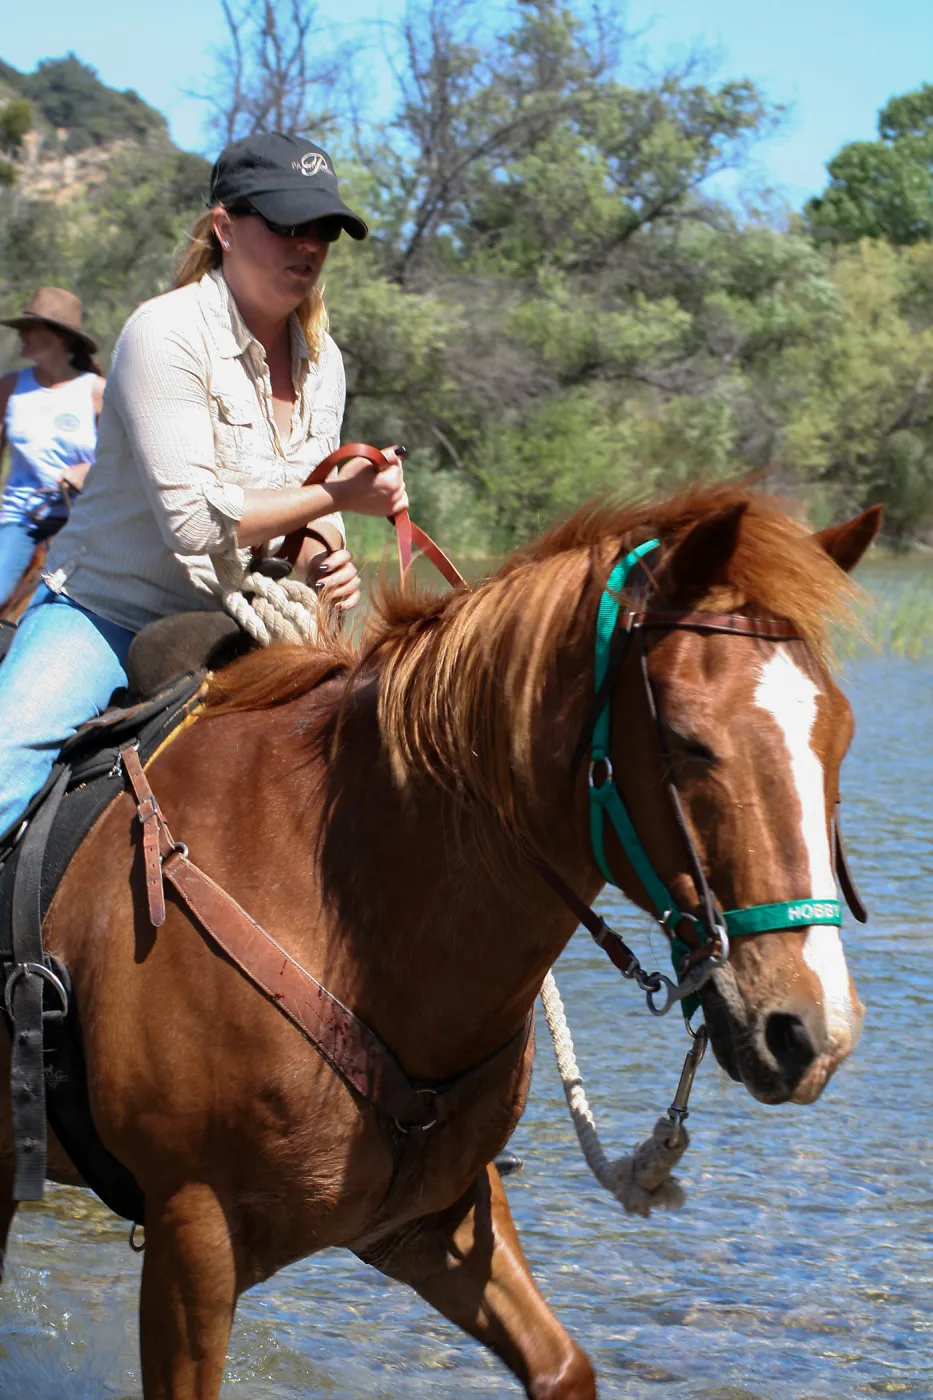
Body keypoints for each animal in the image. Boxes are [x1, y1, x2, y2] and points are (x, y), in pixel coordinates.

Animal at [0, 483, 881, 1399]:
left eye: (840, 736)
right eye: (686, 741)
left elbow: (561, 1367)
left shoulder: (432, 1220)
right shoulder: (191, 1234)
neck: (343, 914)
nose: (810, 1030)